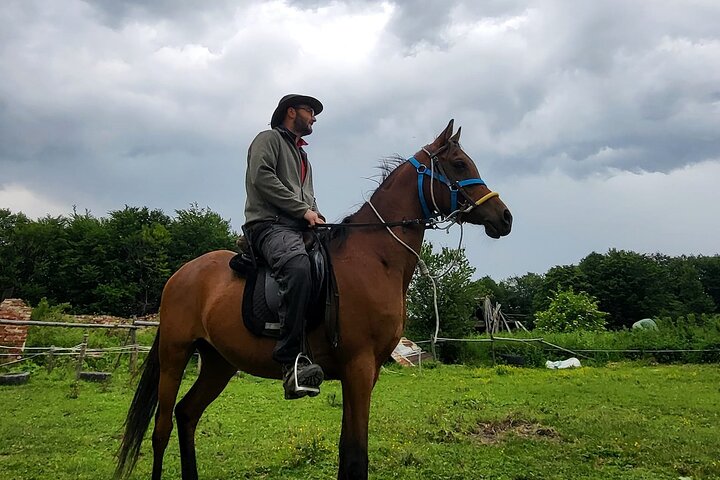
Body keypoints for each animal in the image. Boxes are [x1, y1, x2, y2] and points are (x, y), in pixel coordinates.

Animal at [115, 120, 512, 480]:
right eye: (459, 164)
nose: (505, 217)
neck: (374, 258)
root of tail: (180, 275)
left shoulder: (368, 372)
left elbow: (347, 450)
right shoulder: (359, 367)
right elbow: (356, 455)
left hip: (218, 362)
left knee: (186, 415)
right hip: (175, 355)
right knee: (162, 429)